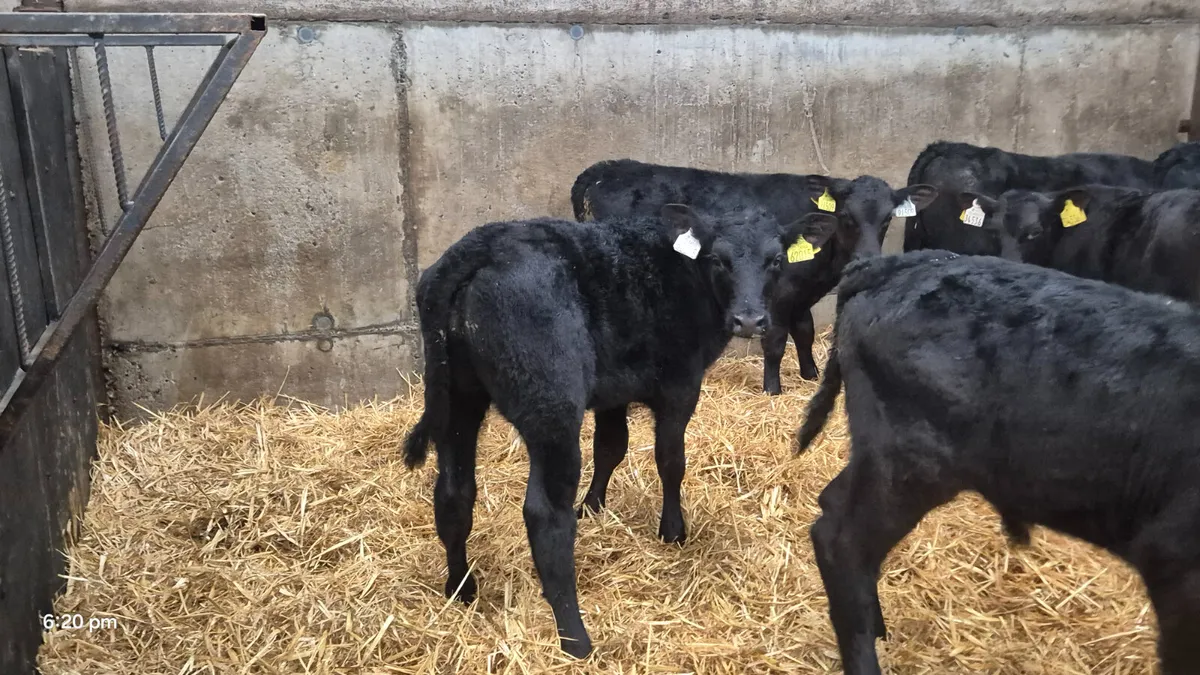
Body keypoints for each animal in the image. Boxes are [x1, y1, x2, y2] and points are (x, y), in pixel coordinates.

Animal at [402, 204, 835, 657]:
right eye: (718, 259)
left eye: (776, 260)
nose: (749, 320)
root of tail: (479, 247)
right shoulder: (681, 385)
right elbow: (670, 461)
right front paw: (673, 531)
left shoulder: (613, 393)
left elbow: (611, 447)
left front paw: (593, 507)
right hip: (551, 408)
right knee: (545, 516)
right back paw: (575, 637)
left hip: (458, 399)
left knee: (454, 493)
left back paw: (461, 588)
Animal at [571, 158, 937, 393]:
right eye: (846, 216)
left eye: (888, 219)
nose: (867, 260)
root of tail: (602, 170)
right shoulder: (776, 297)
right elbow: (774, 343)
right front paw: (773, 389)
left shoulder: (800, 295)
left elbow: (804, 332)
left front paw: (810, 375)